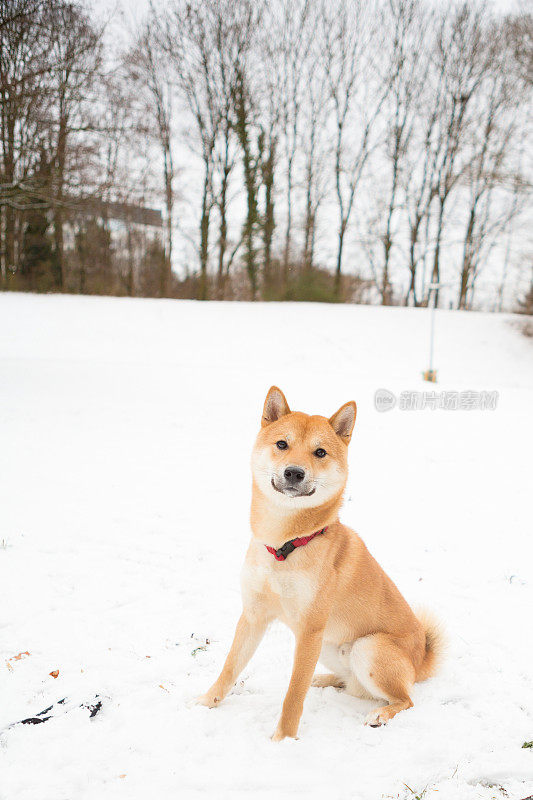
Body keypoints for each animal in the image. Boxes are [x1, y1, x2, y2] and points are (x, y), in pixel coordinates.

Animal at [197, 384, 442, 740]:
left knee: (405, 699)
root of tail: (420, 660)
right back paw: (325, 679)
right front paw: (205, 703)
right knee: (351, 684)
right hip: (330, 645)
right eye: (282, 444)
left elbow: (293, 695)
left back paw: (381, 713)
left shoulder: (310, 631)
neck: (285, 545)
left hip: (367, 647)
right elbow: (230, 667)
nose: (294, 472)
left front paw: (283, 740)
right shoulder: (254, 615)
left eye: (320, 452)